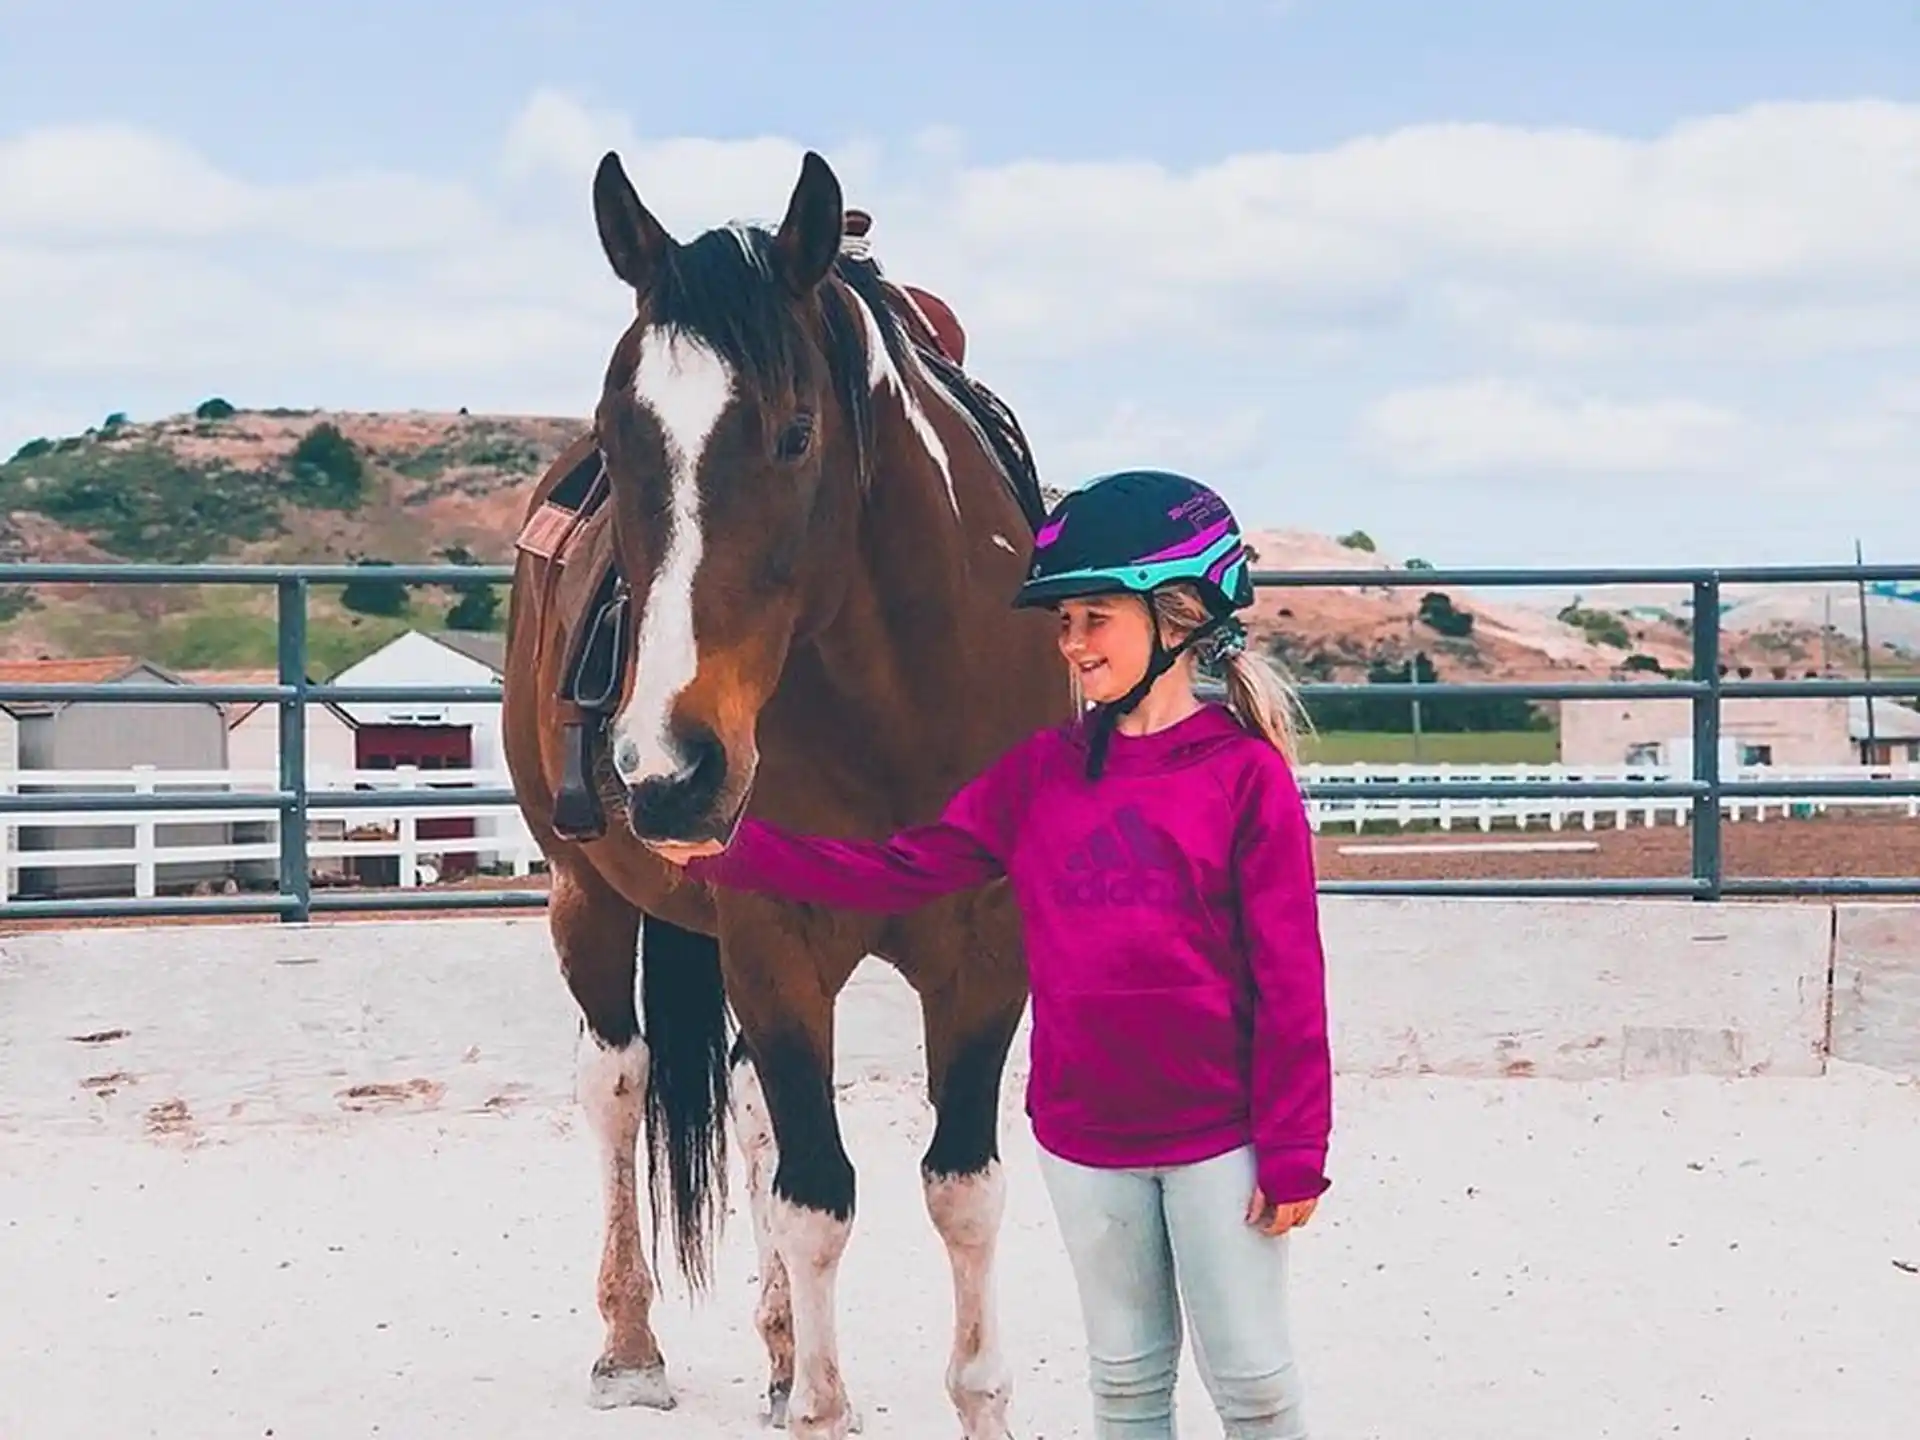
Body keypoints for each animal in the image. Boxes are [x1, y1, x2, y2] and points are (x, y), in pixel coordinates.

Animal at [499, 146, 1072, 1440]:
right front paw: (819, 1400)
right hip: (585, 898)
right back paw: (630, 1346)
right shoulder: (776, 944)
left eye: (797, 433)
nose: (666, 766)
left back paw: (770, 1349)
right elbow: (818, 1198)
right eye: (619, 434)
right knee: (618, 1082)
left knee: (753, 1108)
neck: (902, 698)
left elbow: (961, 1188)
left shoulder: (988, 949)